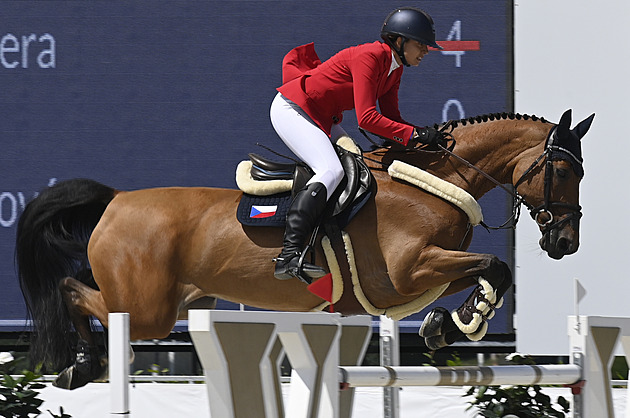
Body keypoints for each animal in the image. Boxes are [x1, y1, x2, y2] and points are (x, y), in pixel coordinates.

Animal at [16, 108, 596, 388]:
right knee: (72, 289)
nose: (565, 242)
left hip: (176, 301)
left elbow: (487, 272)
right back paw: (83, 364)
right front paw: (464, 321)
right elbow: (496, 266)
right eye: (565, 171)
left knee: (81, 288)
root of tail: (115, 200)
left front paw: (446, 325)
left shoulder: (422, 276)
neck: (431, 183)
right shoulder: (405, 273)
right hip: (146, 309)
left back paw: (80, 366)